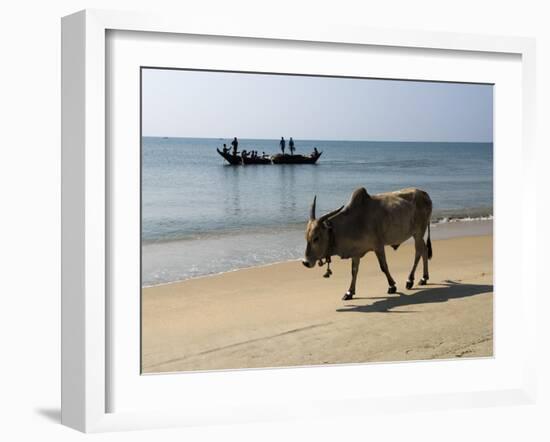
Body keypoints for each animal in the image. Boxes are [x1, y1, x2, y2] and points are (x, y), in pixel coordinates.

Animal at [304, 186, 434, 300]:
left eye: (316, 238)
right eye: (306, 237)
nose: (305, 262)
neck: (354, 222)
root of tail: (424, 193)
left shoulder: (378, 246)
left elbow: (384, 267)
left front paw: (392, 286)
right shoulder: (356, 252)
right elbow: (354, 271)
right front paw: (349, 292)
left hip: (418, 232)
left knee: (418, 252)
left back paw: (410, 280)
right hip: (417, 234)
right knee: (424, 250)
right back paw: (424, 278)